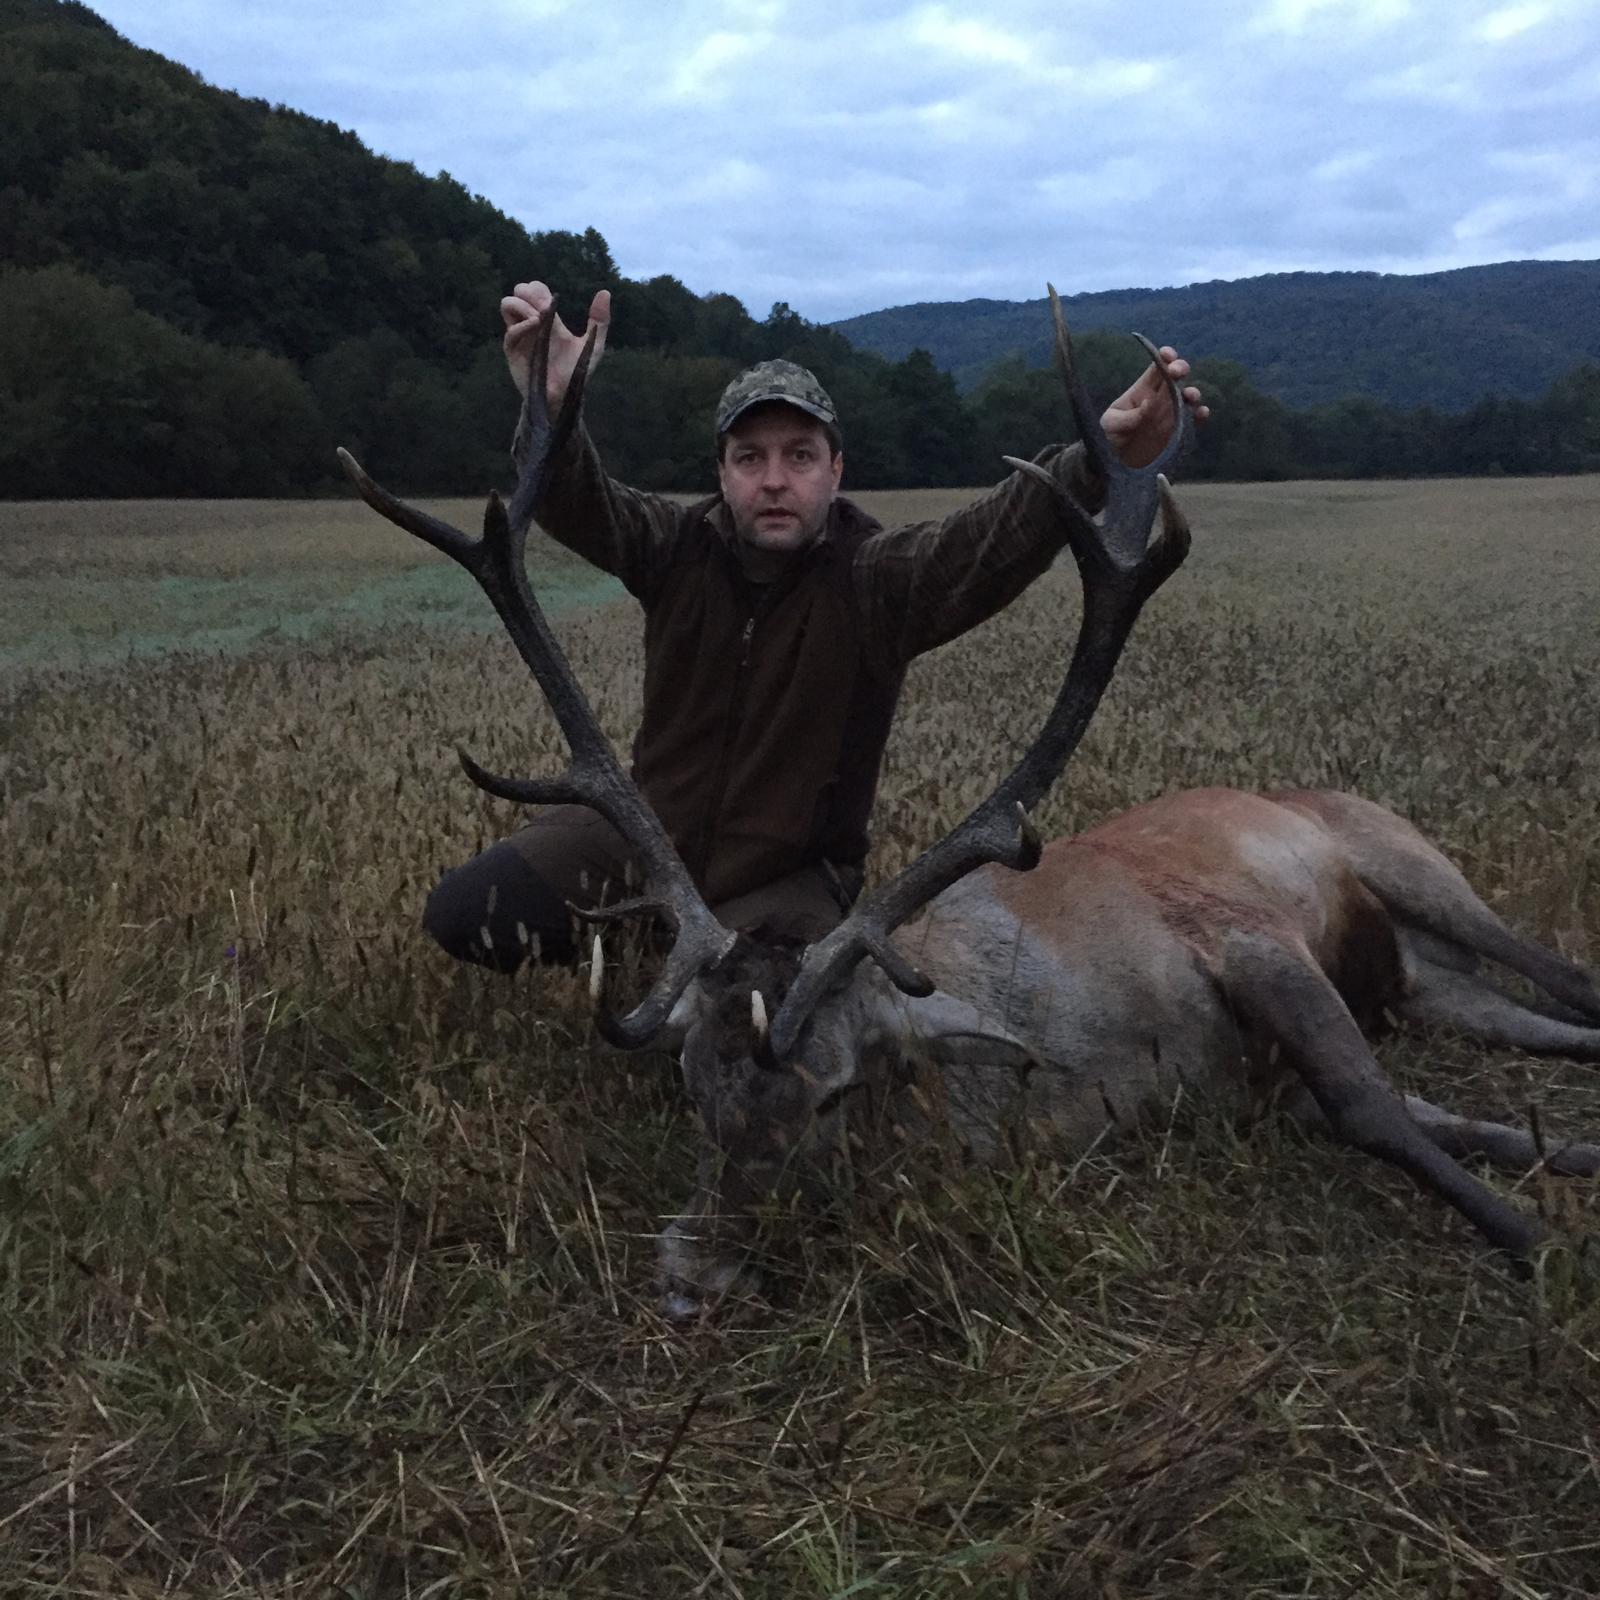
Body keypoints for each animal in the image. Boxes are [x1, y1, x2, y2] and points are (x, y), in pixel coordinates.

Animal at [339, 295, 1600, 1321]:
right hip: (1434, 986)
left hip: (1405, 857)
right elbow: (1424, 1115)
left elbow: (1373, 1109)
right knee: (1532, 1016)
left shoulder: (1243, 938)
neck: (1081, 1063)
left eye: (836, 1095)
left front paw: (1536, 1243)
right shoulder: (1254, 1089)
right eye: (692, 1089)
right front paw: (1565, 1162)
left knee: (1565, 974)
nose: (691, 1277)